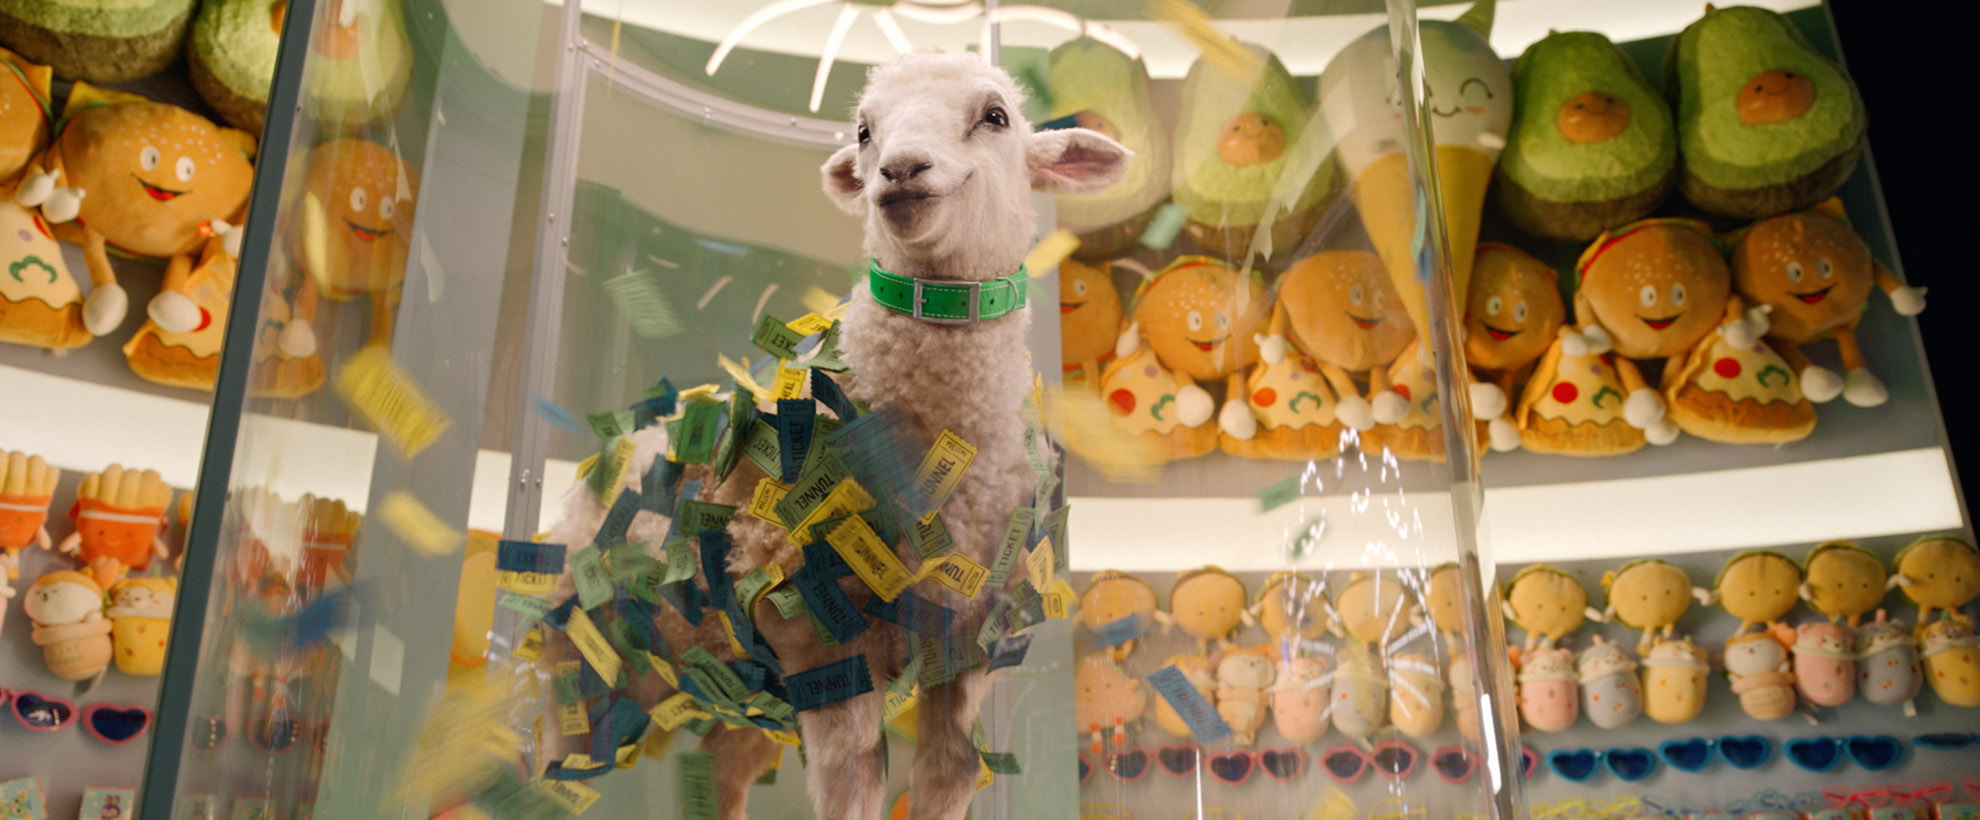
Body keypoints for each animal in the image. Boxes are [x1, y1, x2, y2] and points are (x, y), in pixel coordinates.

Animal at [542, 52, 1132, 820]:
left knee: (720, 777)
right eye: (864, 131)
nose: (902, 170)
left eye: (996, 116)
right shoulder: (817, 633)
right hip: (582, 665)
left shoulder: (967, 643)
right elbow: (852, 791)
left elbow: (946, 781)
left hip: (732, 695)